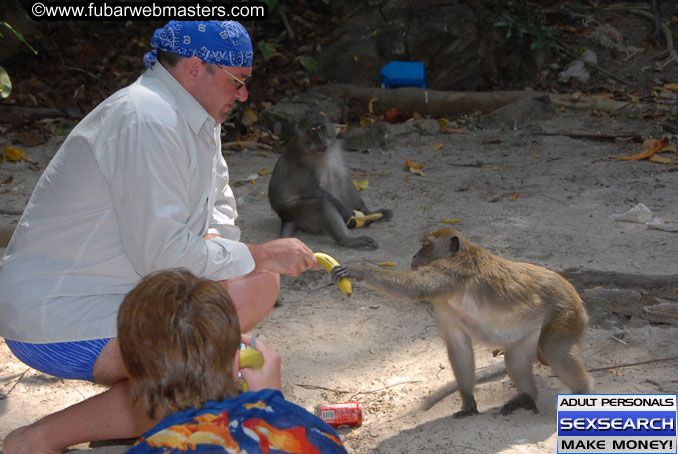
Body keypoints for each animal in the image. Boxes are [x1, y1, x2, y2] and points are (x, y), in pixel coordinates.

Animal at [334, 229, 596, 416]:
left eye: (426, 246)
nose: (414, 256)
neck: (459, 253)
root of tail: (577, 299)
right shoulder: (441, 302)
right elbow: (459, 346)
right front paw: (469, 402)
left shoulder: (448, 273)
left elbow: (412, 288)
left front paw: (358, 271)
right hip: (531, 332)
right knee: (516, 358)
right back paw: (527, 396)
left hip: (564, 315)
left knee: (554, 349)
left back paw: (582, 393)